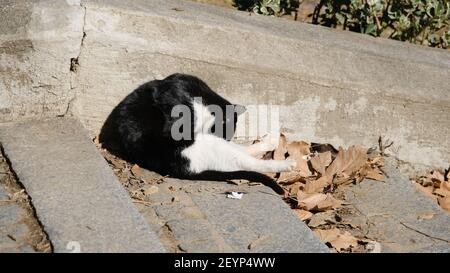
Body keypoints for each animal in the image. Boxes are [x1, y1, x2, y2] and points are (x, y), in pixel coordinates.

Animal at [99, 72, 296, 191]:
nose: (226, 138)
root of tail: (178, 170)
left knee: (243, 151)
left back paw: (271, 143)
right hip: (206, 147)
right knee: (248, 162)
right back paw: (287, 164)